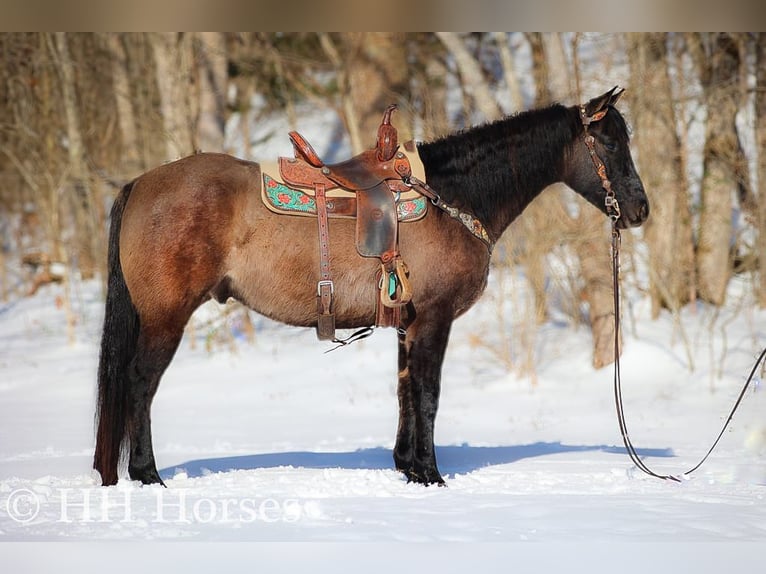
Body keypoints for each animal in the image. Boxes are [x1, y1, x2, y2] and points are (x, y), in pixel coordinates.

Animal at [94, 88, 648, 488]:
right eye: (611, 144)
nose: (640, 209)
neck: (453, 197)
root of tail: (140, 184)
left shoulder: (408, 322)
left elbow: (405, 390)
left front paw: (407, 467)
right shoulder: (434, 318)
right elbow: (428, 392)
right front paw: (431, 475)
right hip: (165, 318)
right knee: (140, 382)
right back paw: (146, 473)